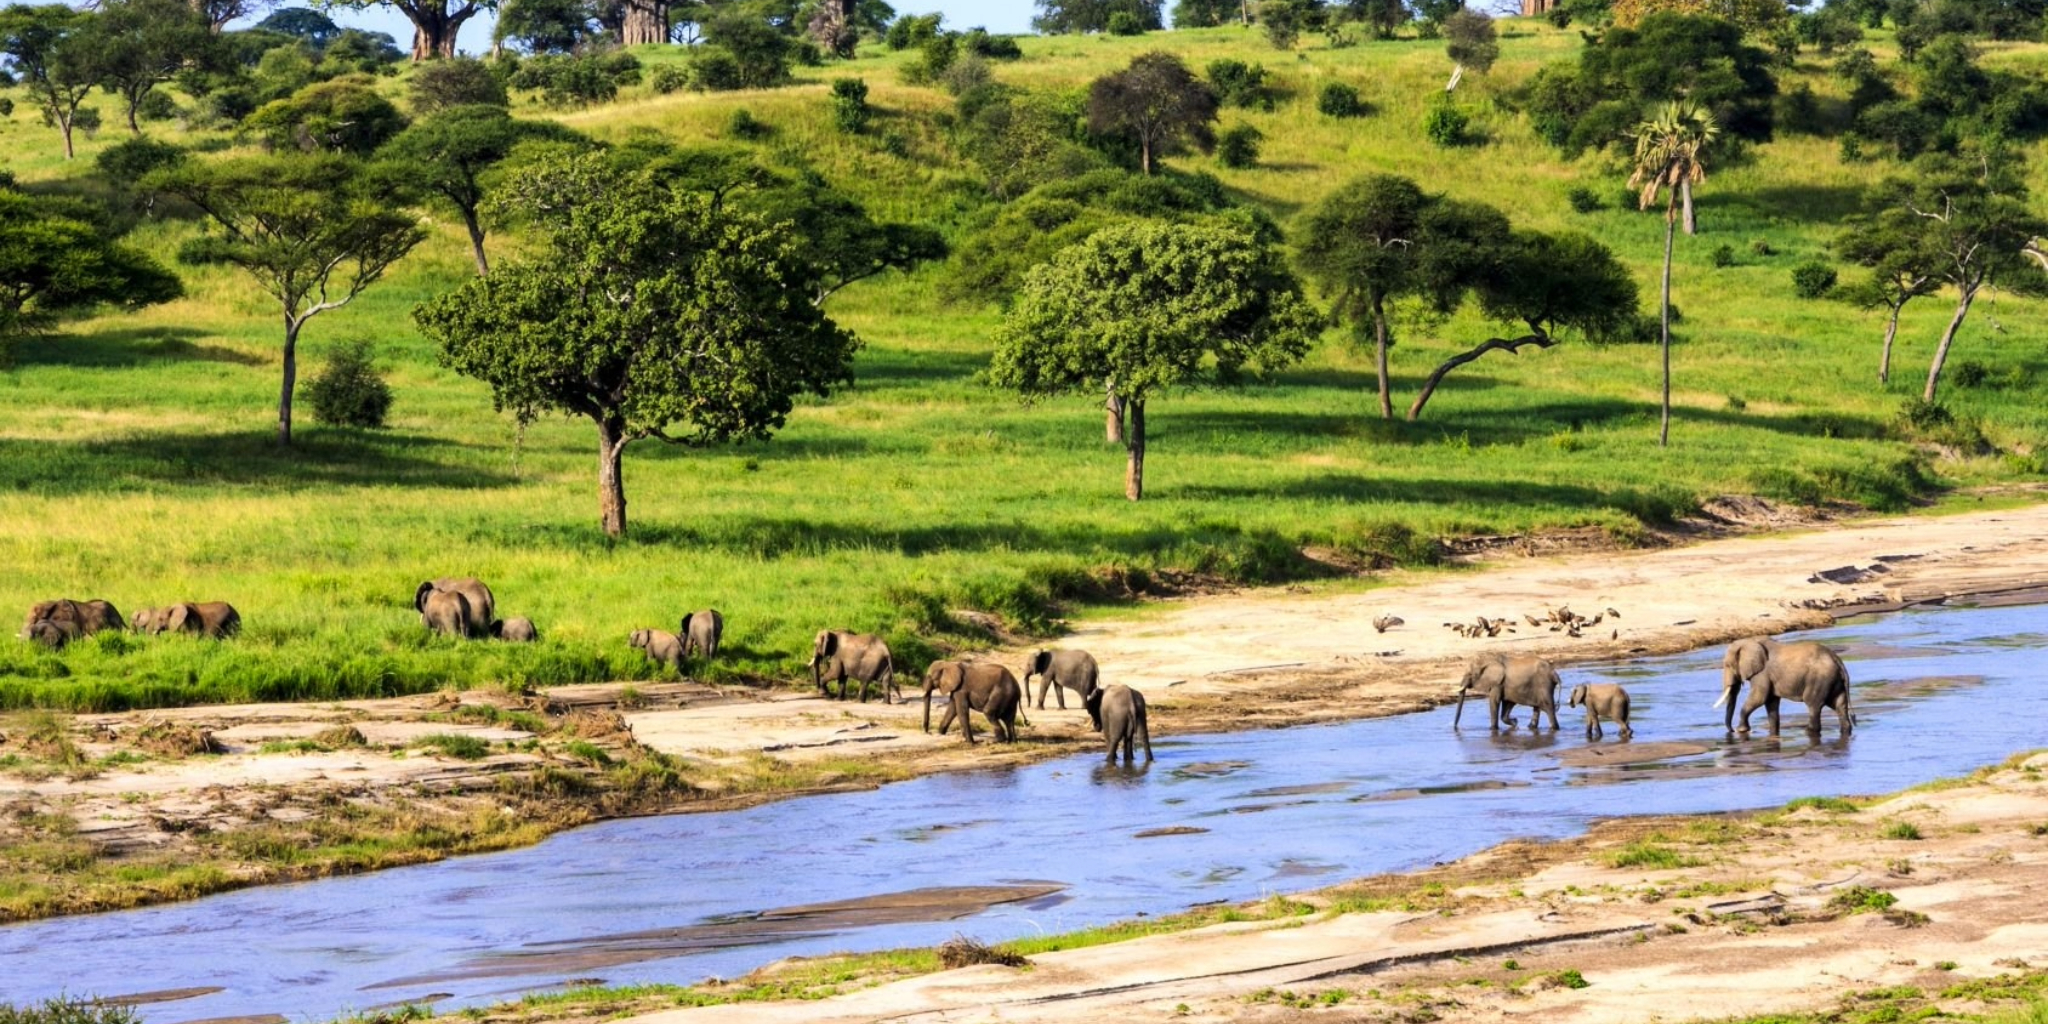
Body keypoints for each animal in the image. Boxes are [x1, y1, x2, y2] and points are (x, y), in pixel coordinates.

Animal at [1712, 634, 1859, 741]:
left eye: (1727, 665)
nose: (1731, 731)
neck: (1749, 641)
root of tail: (1837, 660)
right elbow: (1770, 702)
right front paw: (1772, 731)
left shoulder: (1762, 673)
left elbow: (1759, 698)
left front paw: (1742, 730)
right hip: (1834, 681)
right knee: (1839, 705)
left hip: (1820, 679)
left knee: (1813, 705)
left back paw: (1809, 731)